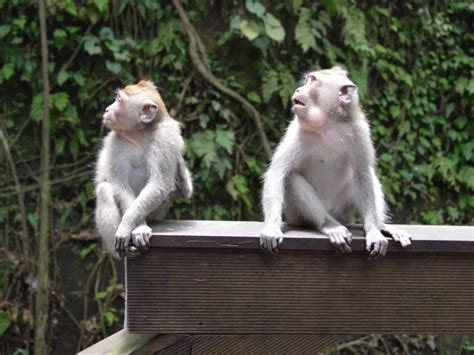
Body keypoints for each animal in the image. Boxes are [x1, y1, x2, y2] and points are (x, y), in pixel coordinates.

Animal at [94, 80, 193, 258]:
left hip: (158, 212)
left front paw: (129, 224)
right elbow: (120, 186)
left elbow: (159, 184)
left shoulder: (165, 139)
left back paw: (183, 183)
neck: (140, 134)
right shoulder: (115, 142)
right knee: (104, 190)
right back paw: (120, 252)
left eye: (119, 100)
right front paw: (137, 227)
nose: (107, 109)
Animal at [262, 67, 412, 258]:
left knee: (367, 176)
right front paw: (271, 226)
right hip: (297, 215)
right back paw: (330, 225)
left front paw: (373, 230)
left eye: (313, 81)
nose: (297, 89)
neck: (328, 125)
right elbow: (278, 172)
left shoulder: (359, 131)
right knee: (291, 180)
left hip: (344, 209)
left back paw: (382, 225)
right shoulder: (296, 130)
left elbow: (363, 174)